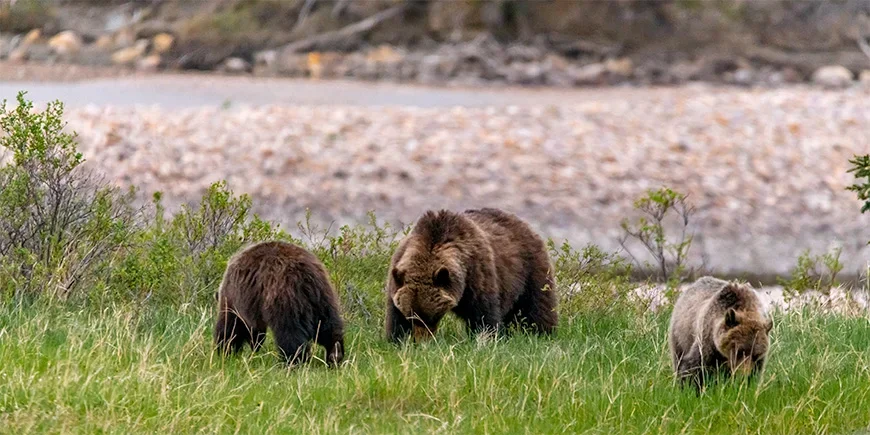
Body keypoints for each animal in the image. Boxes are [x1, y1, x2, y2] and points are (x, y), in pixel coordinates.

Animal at [214, 240, 345, 367]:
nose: (254, 347)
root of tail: (306, 275)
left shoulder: (235, 299)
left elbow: (231, 327)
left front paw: (225, 350)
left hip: (284, 296)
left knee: (289, 333)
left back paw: (293, 361)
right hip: (323, 297)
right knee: (328, 326)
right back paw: (335, 355)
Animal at [384, 207, 558, 343]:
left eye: (432, 316)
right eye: (412, 316)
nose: (422, 340)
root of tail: (522, 223)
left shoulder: (477, 274)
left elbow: (483, 314)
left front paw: (485, 338)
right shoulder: (398, 275)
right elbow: (395, 317)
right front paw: (398, 339)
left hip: (529, 270)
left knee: (537, 305)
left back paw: (541, 333)